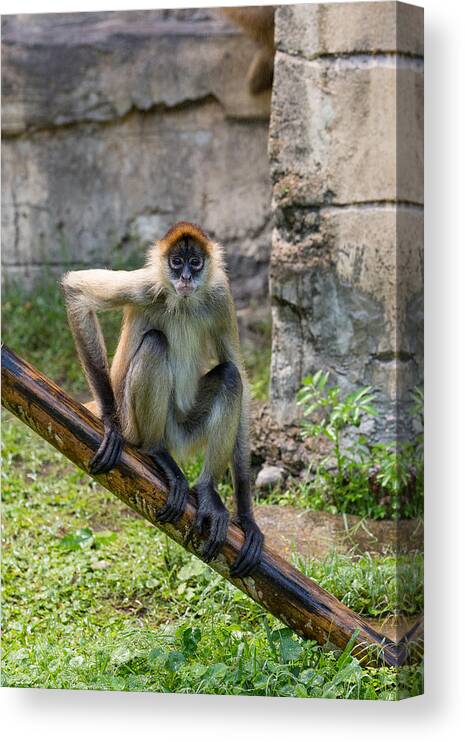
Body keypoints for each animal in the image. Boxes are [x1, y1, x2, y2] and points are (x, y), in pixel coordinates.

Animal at [62, 224, 264, 580]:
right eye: (176, 262)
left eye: (195, 262)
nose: (184, 276)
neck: (183, 301)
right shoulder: (146, 284)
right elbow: (77, 292)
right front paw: (110, 425)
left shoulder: (220, 294)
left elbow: (237, 369)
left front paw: (247, 516)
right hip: (138, 420)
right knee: (155, 343)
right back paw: (155, 450)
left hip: (185, 427)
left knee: (229, 377)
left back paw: (208, 492)